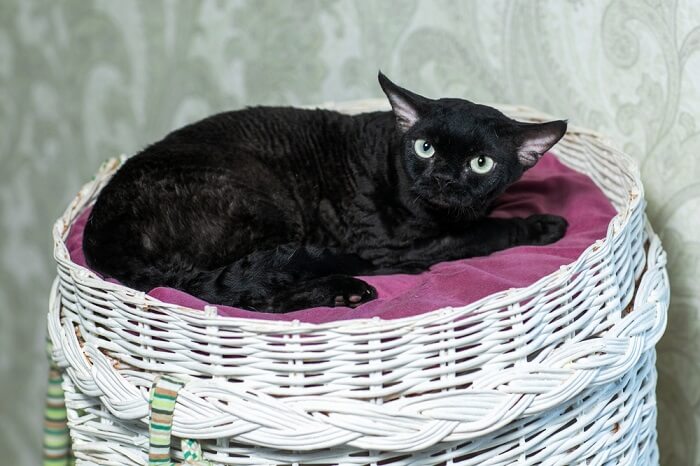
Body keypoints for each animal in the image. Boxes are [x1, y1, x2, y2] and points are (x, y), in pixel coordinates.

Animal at [82, 73, 568, 314]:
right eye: (425, 148)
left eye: (480, 163)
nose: (445, 178)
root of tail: (101, 233)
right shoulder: (391, 245)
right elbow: (483, 234)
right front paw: (542, 225)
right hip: (270, 211)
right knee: (251, 294)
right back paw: (344, 290)